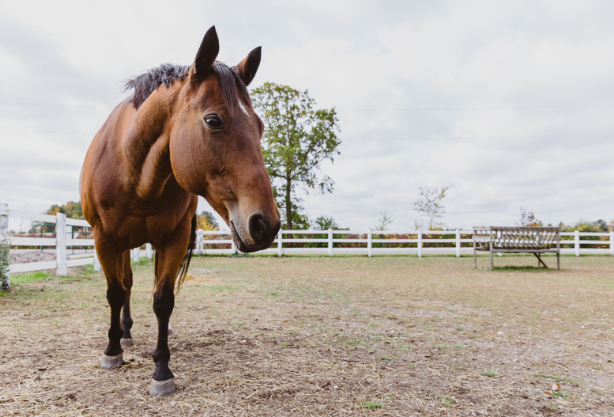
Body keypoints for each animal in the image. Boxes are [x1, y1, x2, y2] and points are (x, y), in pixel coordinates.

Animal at [81, 27, 282, 394]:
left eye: (259, 127)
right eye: (213, 121)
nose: (267, 224)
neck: (134, 170)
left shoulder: (174, 239)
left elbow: (164, 299)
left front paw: (162, 370)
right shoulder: (104, 239)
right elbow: (115, 293)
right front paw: (112, 351)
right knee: (125, 285)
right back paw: (124, 335)